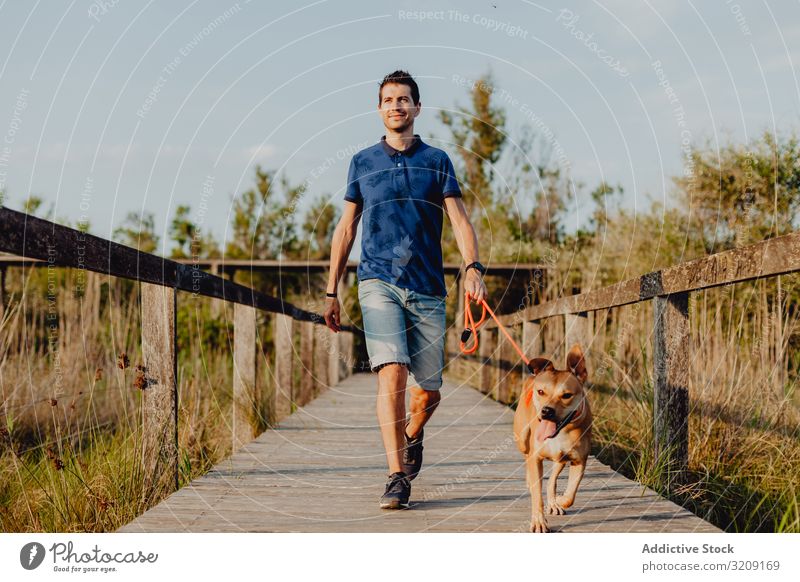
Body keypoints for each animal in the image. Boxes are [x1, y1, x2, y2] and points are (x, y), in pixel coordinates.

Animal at [516, 344, 592, 536]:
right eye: (541, 392)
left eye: (566, 395)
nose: (546, 411)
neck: (561, 431)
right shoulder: (536, 458)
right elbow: (537, 495)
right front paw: (538, 522)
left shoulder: (579, 460)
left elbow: (570, 495)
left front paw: (559, 500)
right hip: (521, 439)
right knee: (526, 456)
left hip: (561, 459)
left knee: (552, 479)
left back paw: (554, 501)